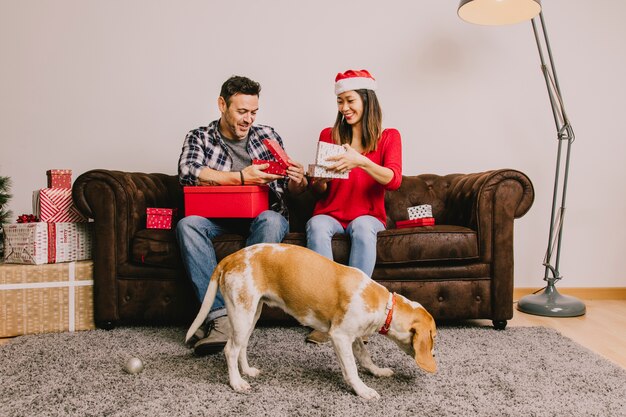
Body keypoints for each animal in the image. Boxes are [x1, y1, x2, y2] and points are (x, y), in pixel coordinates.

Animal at [184, 242, 434, 398]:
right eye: (434, 337)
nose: (434, 356)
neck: (384, 305)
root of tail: (230, 257)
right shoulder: (340, 337)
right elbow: (352, 368)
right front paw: (362, 390)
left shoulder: (353, 338)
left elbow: (365, 358)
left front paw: (378, 371)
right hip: (242, 313)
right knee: (230, 350)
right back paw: (237, 383)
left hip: (250, 315)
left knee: (241, 347)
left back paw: (246, 371)